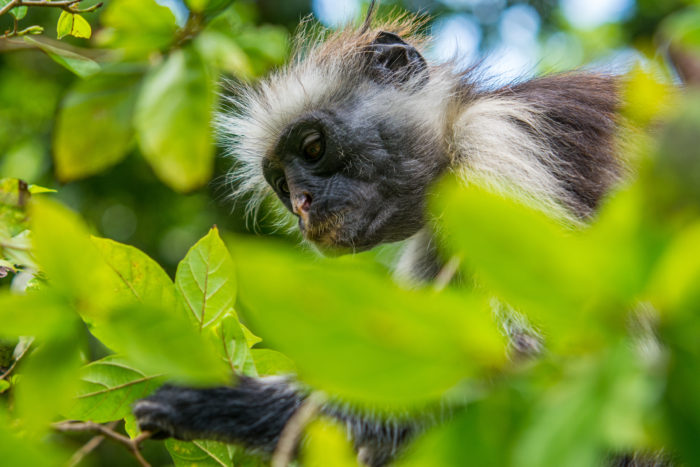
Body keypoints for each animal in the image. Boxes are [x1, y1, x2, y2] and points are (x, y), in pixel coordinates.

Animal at [131, 2, 624, 464]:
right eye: (282, 185)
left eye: (313, 148)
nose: (302, 204)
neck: (456, 131)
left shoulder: (499, 141)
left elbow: (545, 357)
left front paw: (225, 404)